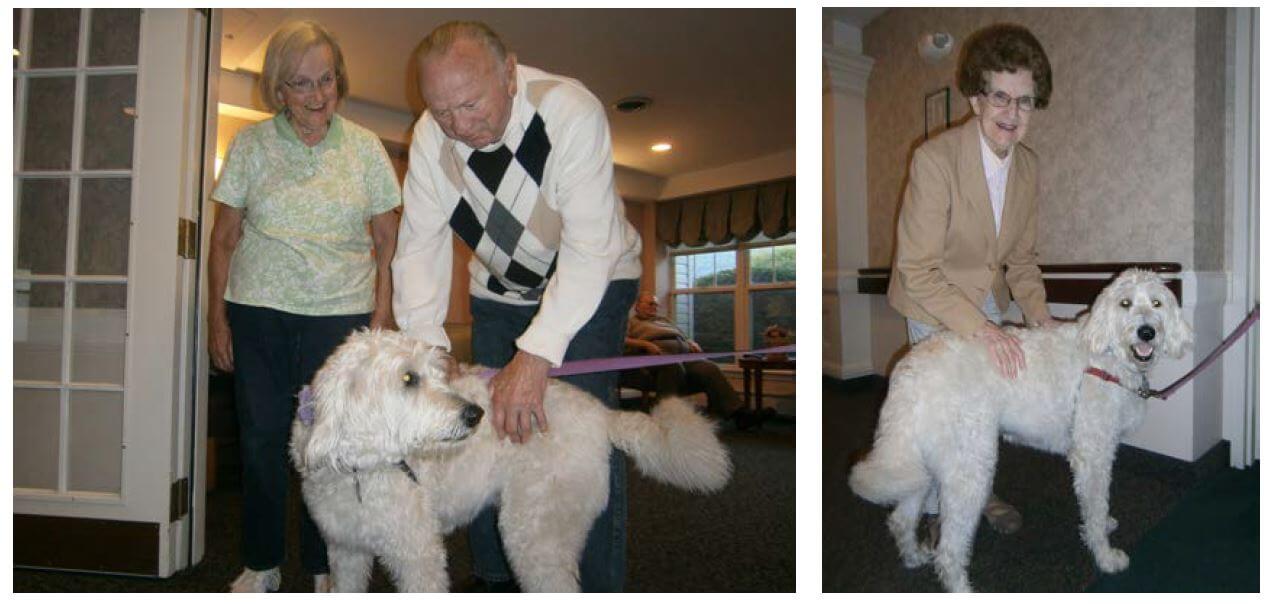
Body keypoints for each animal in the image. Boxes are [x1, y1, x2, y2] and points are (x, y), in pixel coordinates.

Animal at [290, 327, 732, 591]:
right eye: (408, 378)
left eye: (435, 375)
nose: (474, 415)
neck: (359, 469)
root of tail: (603, 415)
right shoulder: (346, 551)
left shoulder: (418, 555)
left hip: (535, 531)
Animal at [850, 268, 1188, 588]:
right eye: (1125, 303)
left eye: (1156, 303)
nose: (1147, 332)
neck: (1105, 353)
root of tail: (909, 369)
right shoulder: (1093, 455)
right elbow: (1094, 506)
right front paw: (1105, 556)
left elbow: (1097, 505)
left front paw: (1105, 524)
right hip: (969, 468)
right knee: (948, 550)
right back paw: (962, 589)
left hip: (919, 464)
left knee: (900, 520)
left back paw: (913, 557)